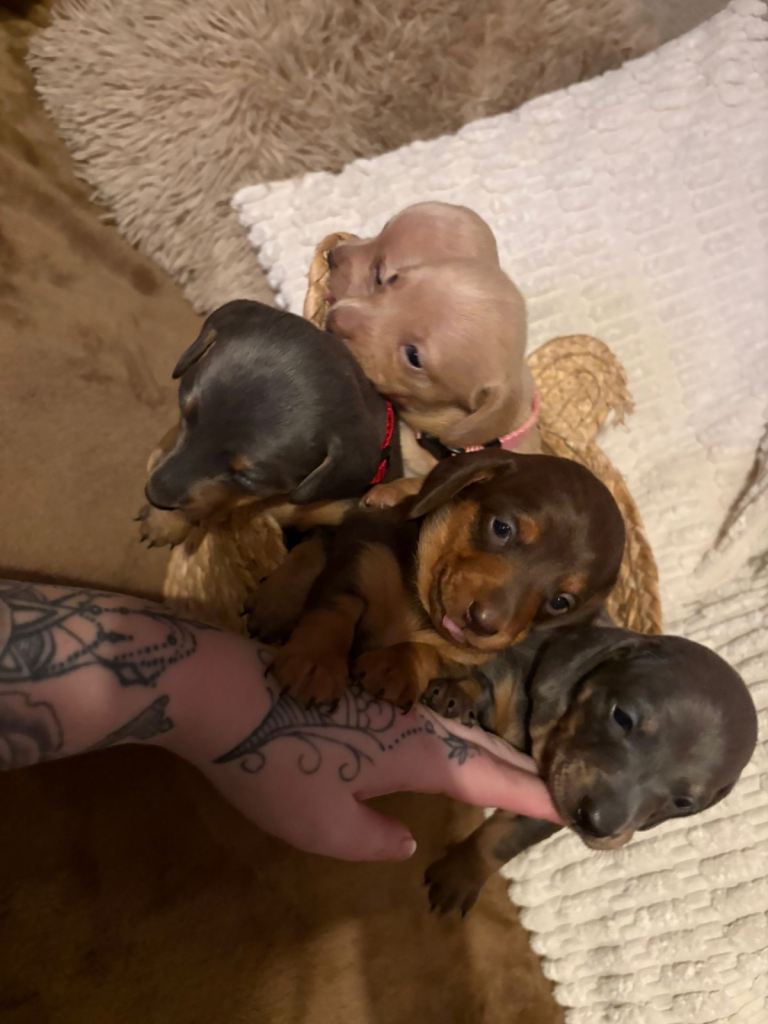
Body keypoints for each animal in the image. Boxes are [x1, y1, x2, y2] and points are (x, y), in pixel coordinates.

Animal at [268, 448, 626, 708]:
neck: (419, 610)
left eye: (561, 602)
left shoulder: (467, 658)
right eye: (502, 528)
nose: (481, 623)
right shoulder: (359, 562)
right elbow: (333, 612)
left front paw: (398, 665)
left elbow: (432, 653)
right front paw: (316, 662)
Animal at [422, 624, 759, 916]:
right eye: (622, 717)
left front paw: (460, 873)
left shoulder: (546, 804)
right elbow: (480, 681)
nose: (596, 823)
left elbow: (501, 840)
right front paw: (456, 697)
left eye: (684, 802)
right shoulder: (508, 677)